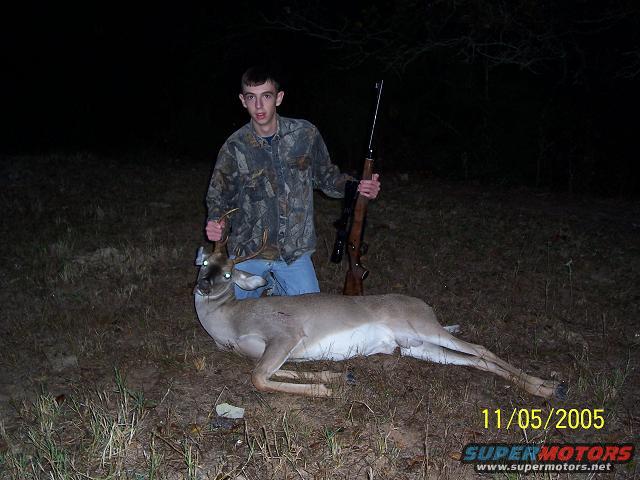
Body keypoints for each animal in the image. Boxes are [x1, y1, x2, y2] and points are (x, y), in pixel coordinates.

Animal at [193, 216, 566, 399]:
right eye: (204, 264)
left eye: (227, 273)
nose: (202, 286)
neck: (230, 324)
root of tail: (424, 306)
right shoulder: (276, 353)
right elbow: (272, 371)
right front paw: (338, 376)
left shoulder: (285, 333)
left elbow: (258, 377)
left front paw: (323, 389)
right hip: (415, 347)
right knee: (475, 360)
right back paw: (546, 388)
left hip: (424, 327)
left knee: (479, 348)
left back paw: (548, 385)